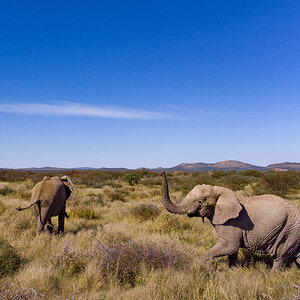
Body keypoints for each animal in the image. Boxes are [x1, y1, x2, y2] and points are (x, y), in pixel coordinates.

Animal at [162, 171, 300, 270]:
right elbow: (232, 251)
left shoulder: (232, 222)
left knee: (279, 256)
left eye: (200, 201)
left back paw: (273, 275)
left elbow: (229, 246)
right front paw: (233, 270)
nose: (163, 172)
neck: (218, 190)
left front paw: (209, 269)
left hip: (289, 231)